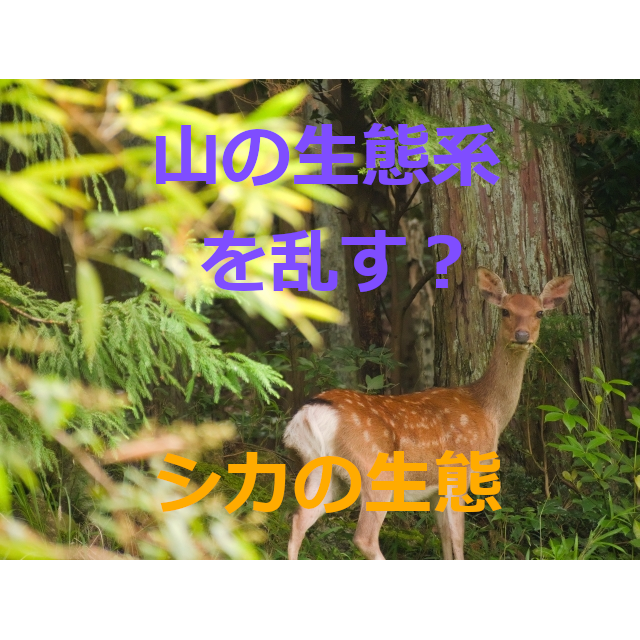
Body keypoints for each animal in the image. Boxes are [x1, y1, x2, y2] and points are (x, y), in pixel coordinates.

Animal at [283, 267, 574, 560]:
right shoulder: (459, 472)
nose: (522, 336)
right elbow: (458, 538)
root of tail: (310, 413)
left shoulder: (437, 489)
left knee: (298, 520)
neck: (487, 410)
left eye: (539, 313)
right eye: (505, 311)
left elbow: (444, 536)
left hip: (322, 470)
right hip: (374, 469)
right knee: (363, 537)